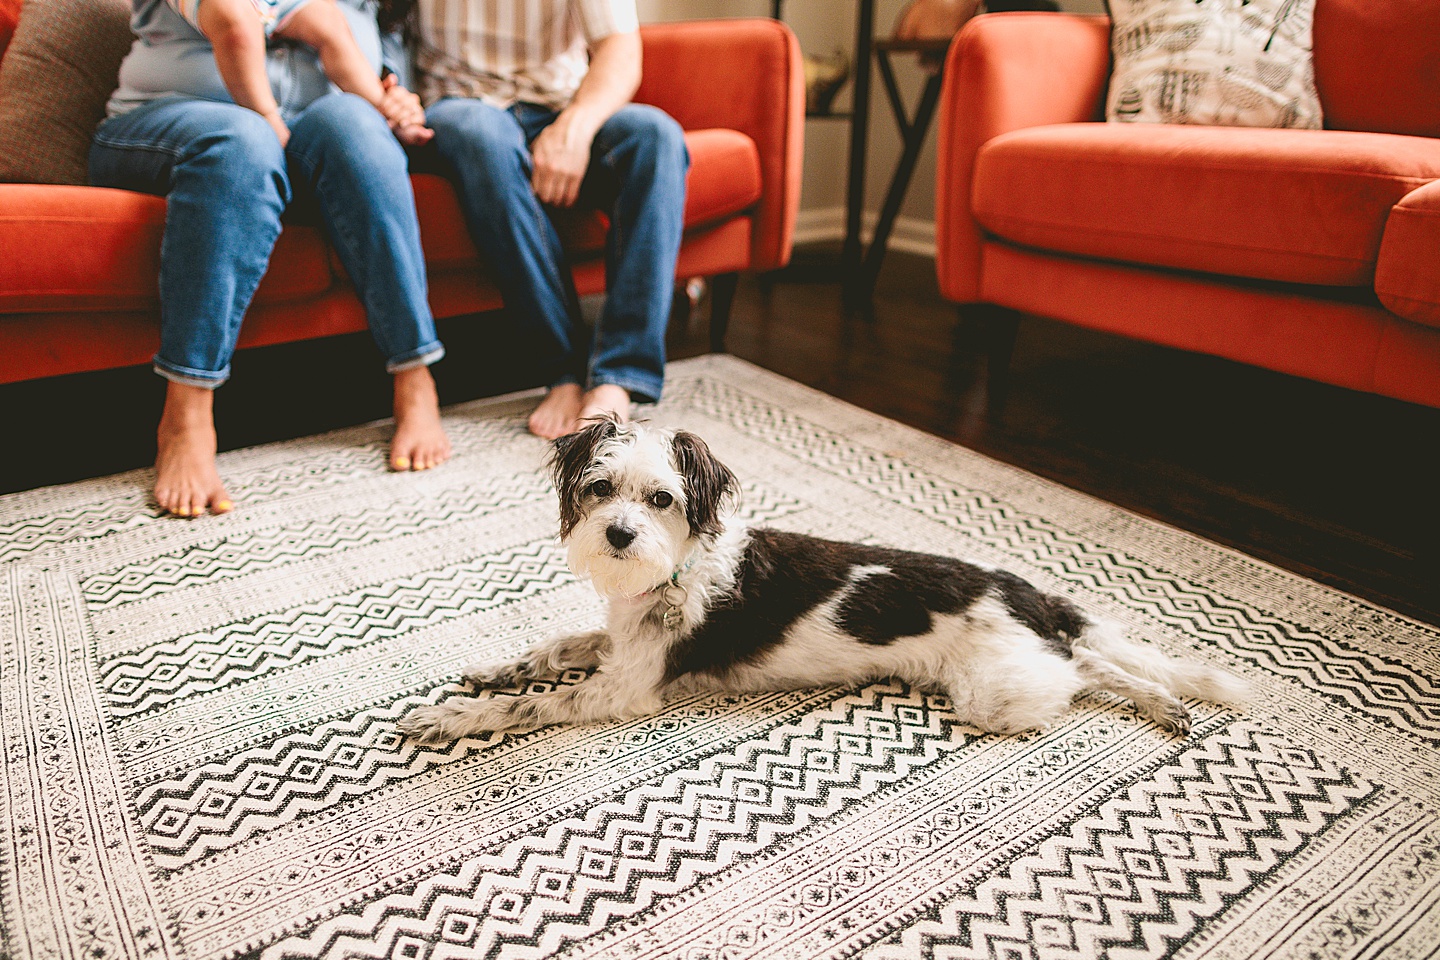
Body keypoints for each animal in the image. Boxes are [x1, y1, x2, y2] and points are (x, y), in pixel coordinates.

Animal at [397, 414, 1249, 742]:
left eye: (662, 499)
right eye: (600, 488)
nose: (619, 533)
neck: (671, 573)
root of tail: (1022, 589)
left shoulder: (623, 689)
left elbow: (531, 705)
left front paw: (451, 718)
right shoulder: (618, 640)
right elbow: (552, 650)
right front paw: (493, 668)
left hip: (996, 688)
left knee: (1087, 667)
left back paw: (1162, 702)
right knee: (1093, 657)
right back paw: (1167, 703)